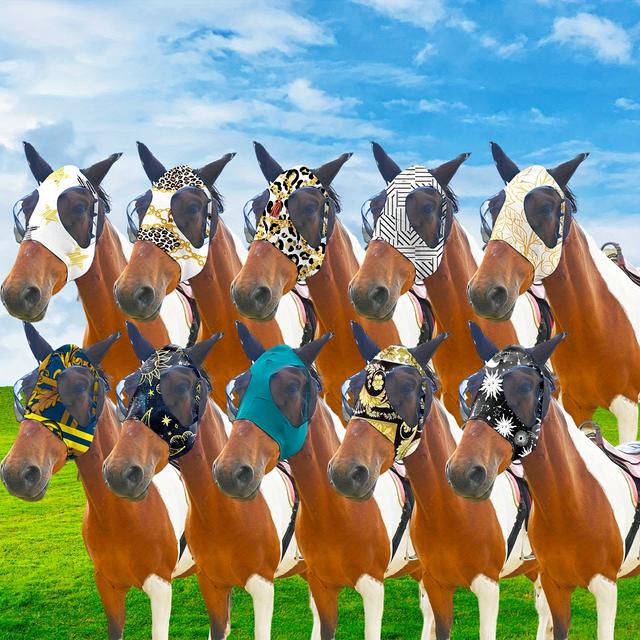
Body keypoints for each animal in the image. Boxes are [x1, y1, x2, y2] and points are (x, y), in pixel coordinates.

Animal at [0, 324, 193, 640]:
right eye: (26, 389)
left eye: (79, 388)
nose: (16, 472)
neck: (122, 515)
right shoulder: (108, 586)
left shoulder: (160, 589)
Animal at [103, 322, 303, 640]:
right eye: (129, 387)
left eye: (182, 387)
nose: (119, 471)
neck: (226, 514)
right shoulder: (212, 585)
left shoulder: (263, 588)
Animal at [213, 322, 421, 640]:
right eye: (238, 390)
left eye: (291, 388)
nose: (229, 471)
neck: (337, 511)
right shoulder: (319, 583)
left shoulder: (373, 588)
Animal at [446, 323, 640, 640]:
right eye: (472, 388)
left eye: (525, 388)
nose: (463, 472)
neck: (574, 503)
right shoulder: (555, 586)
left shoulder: (606, 589)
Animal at [467, 142, 640, 442]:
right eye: (494, 208)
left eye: (546, 208)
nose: (484, 293)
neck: (598, 323)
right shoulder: (575, 406)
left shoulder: (627, 411)